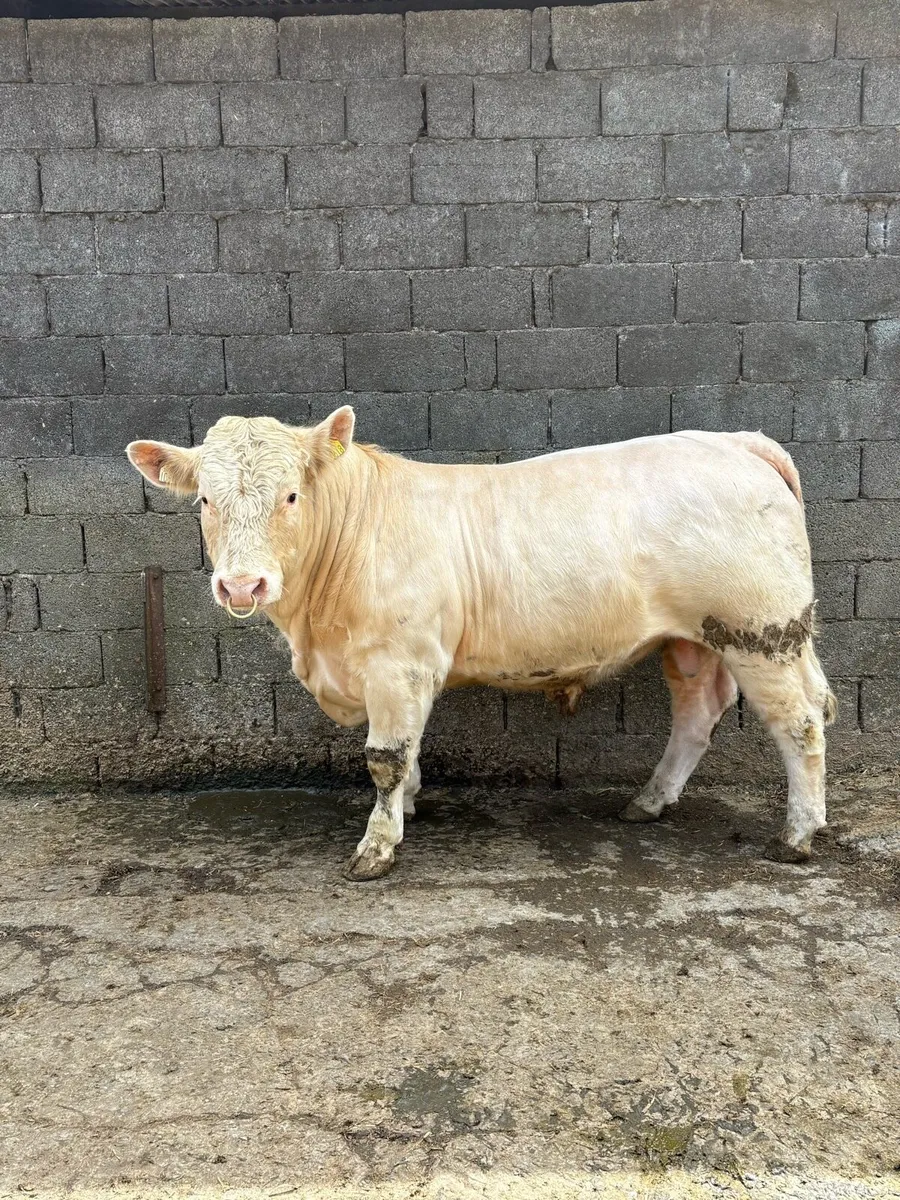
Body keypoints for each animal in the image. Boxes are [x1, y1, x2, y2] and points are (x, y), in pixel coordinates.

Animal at [127, 408, 836, 881]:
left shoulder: (398, 663)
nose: (241, 584)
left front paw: (377, 846)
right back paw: (648, 802)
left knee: (800, 722)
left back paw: (798, 835)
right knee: (697, 714)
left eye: (291, 495)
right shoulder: (404, 672)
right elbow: (408, 750)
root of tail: (733, 441)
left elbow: (384, 757)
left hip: (761, 630)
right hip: (692, 639)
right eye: (205, 500)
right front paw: (409, 807)